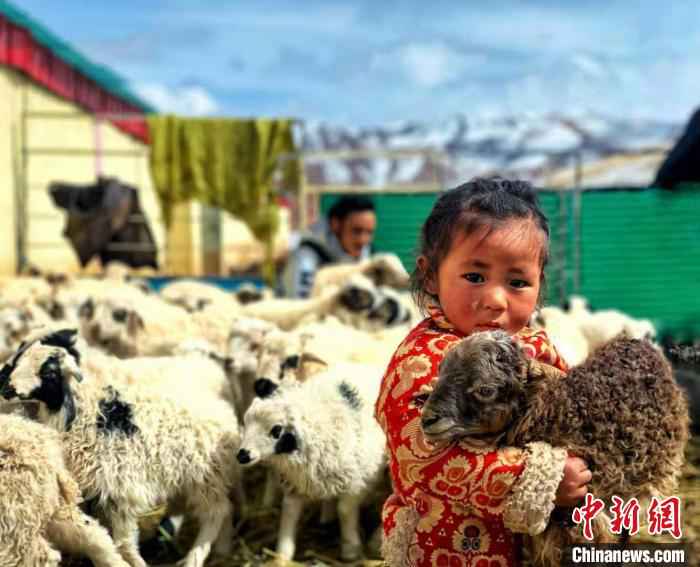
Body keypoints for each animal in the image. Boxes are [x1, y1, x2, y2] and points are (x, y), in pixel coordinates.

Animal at [0, 328, 242, 567]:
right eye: (20, 361)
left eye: (49, 373)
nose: (7, 388)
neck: (80, 415)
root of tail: (222, 409)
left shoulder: (121, 490)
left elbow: (124, 543)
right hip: (187, 478)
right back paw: (221, 548)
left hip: (205, 477)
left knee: (216, 512)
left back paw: (195, 557)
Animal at [238, 364, 386, 564]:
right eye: (246, 422)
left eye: (277, 429)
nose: (243, 455)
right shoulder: (295, 483)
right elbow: (289, 513)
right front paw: (281, 555)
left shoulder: (358, 481)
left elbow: (345, 510)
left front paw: (351, 550)